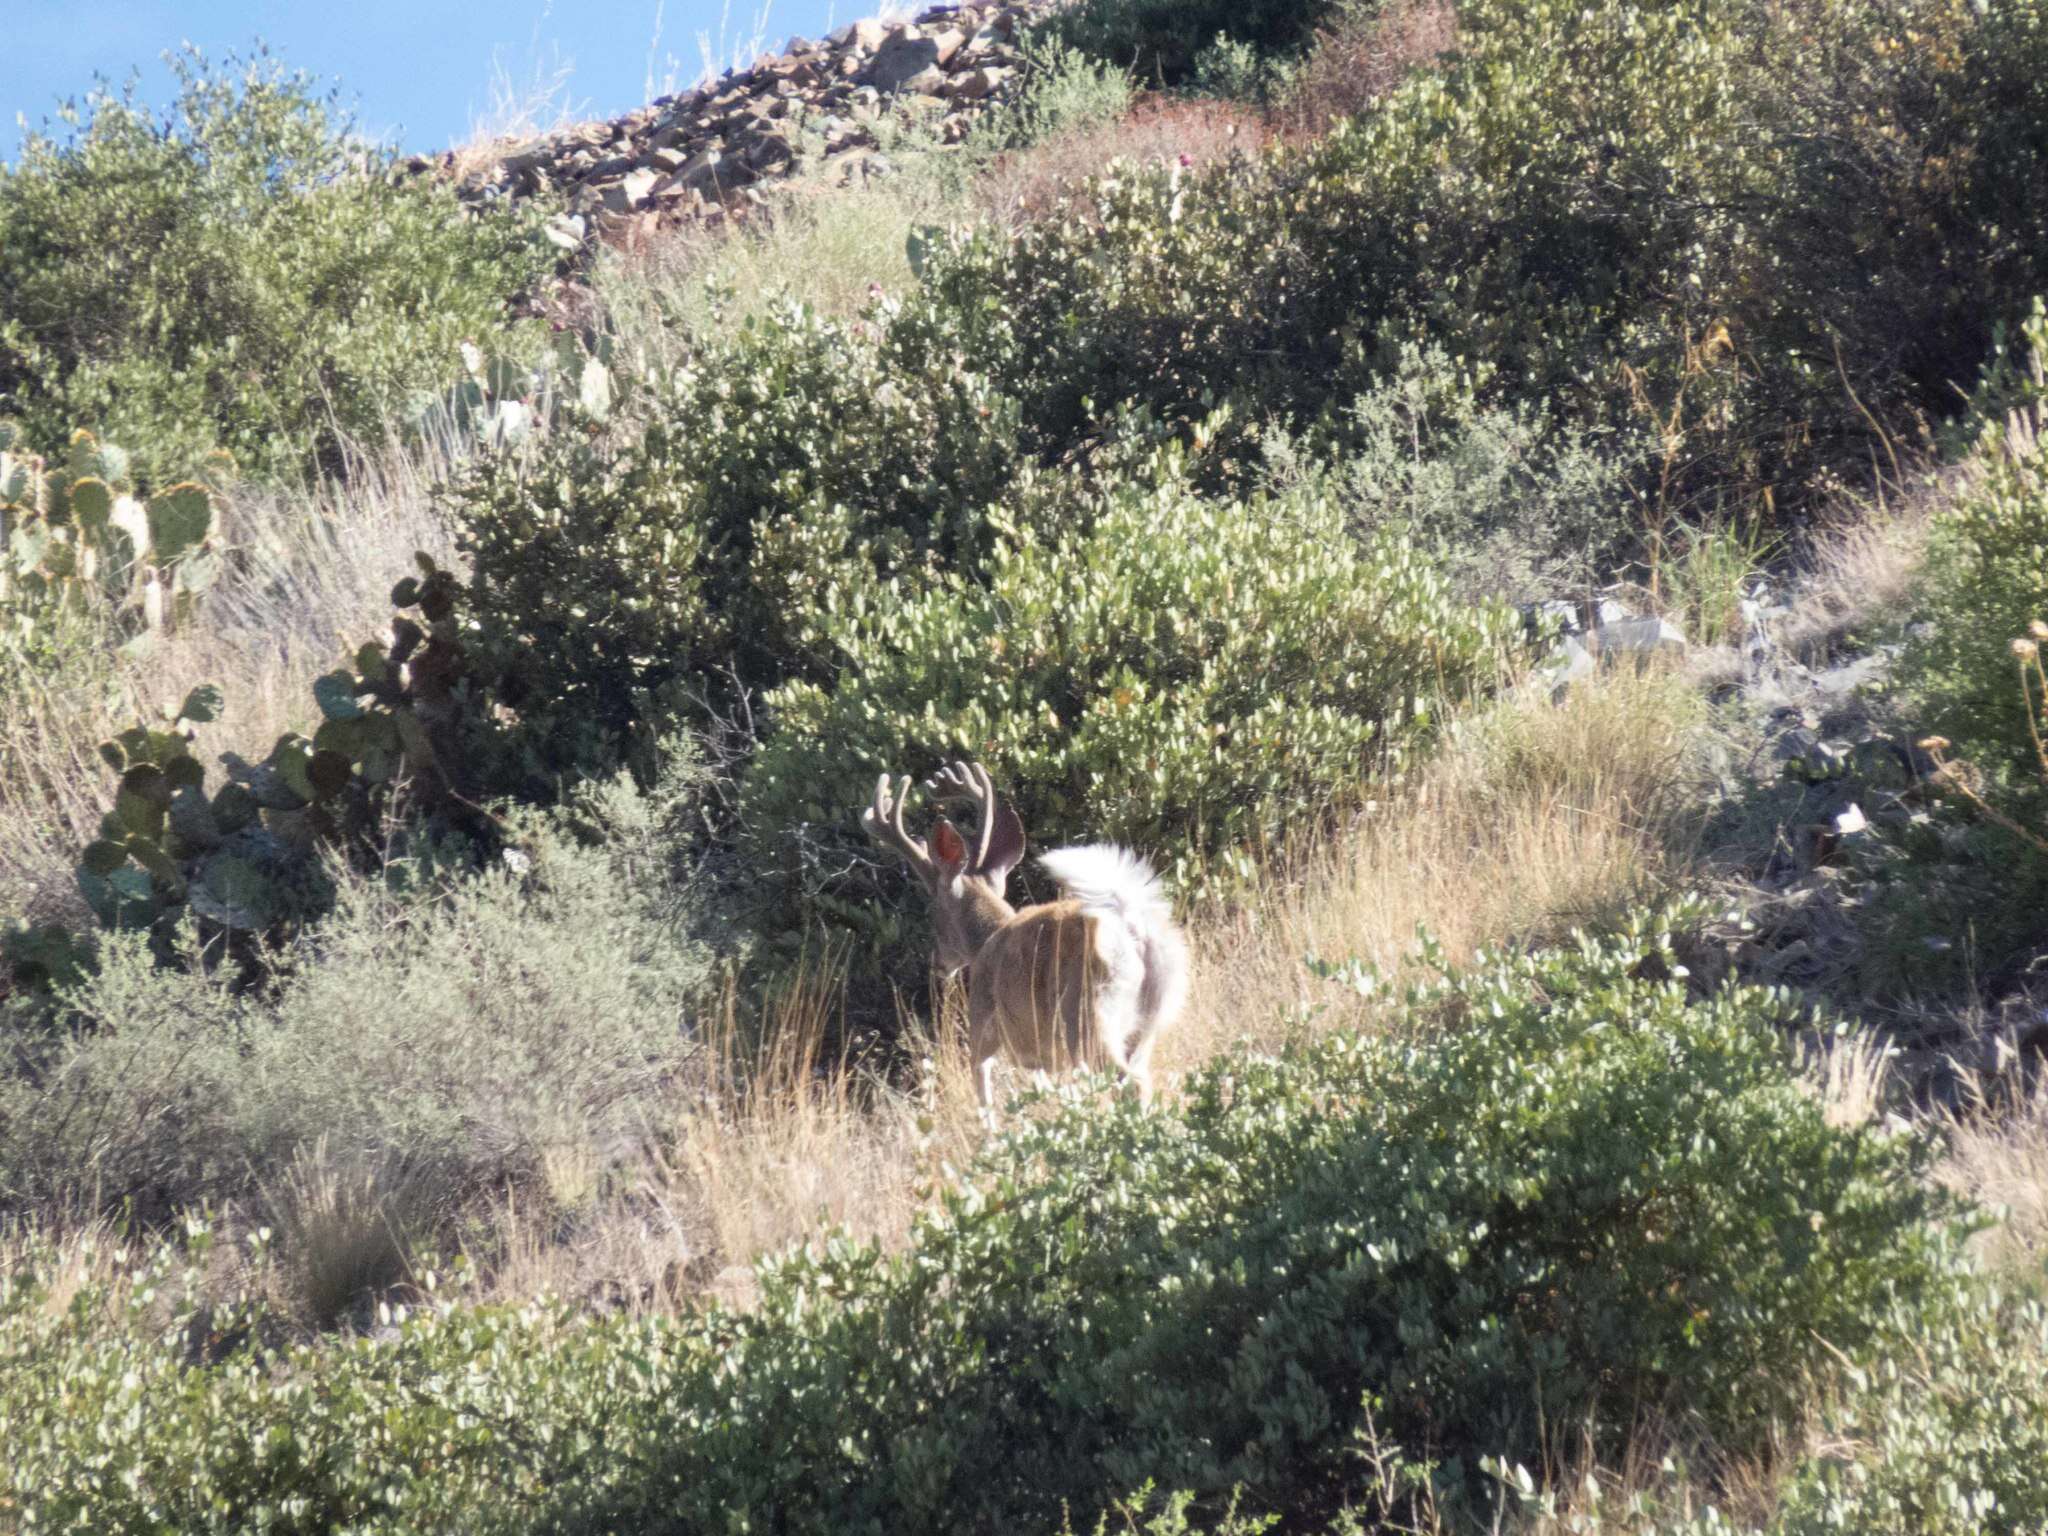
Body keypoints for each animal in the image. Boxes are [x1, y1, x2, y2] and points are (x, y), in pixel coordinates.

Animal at [860, 765, 1187, 1114]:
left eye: (932, 912)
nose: (937, 962)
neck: (987, 937)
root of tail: (1134, 931)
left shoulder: (986, 1025)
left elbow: (984, 1094)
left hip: (1087, 1014)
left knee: (1130, 1082)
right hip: (1146, 1025)